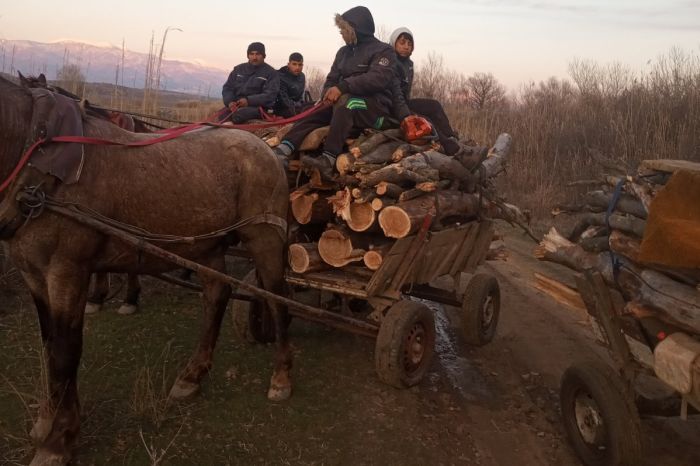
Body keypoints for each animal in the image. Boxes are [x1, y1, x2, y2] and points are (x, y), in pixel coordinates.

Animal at [0, 74, 292, 464]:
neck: (38, 161)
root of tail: (265, 147)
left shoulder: (68, 272)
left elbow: (65, 352)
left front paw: (58, 441)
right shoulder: (34, 274)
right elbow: (49, 344)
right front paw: (47, 421)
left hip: (264, 239)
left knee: (276, 300)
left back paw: (281, 377)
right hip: (207, 245)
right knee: (217, 295)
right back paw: (192, 376)